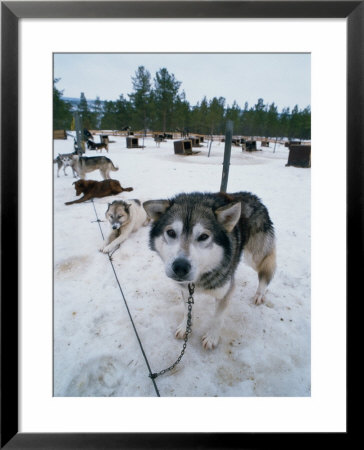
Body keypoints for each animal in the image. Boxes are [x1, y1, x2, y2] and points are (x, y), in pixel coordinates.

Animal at [142, 192, 276, 350]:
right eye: (171, 232)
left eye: (203, 236)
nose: (180, 267)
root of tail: (252, 196)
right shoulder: (185, 290)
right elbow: (186, 310)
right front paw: (185, 327)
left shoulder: (226, 291)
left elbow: (217, 318)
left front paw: (212, 337)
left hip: (254, 257)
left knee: (266, 268)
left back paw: (260, 293)